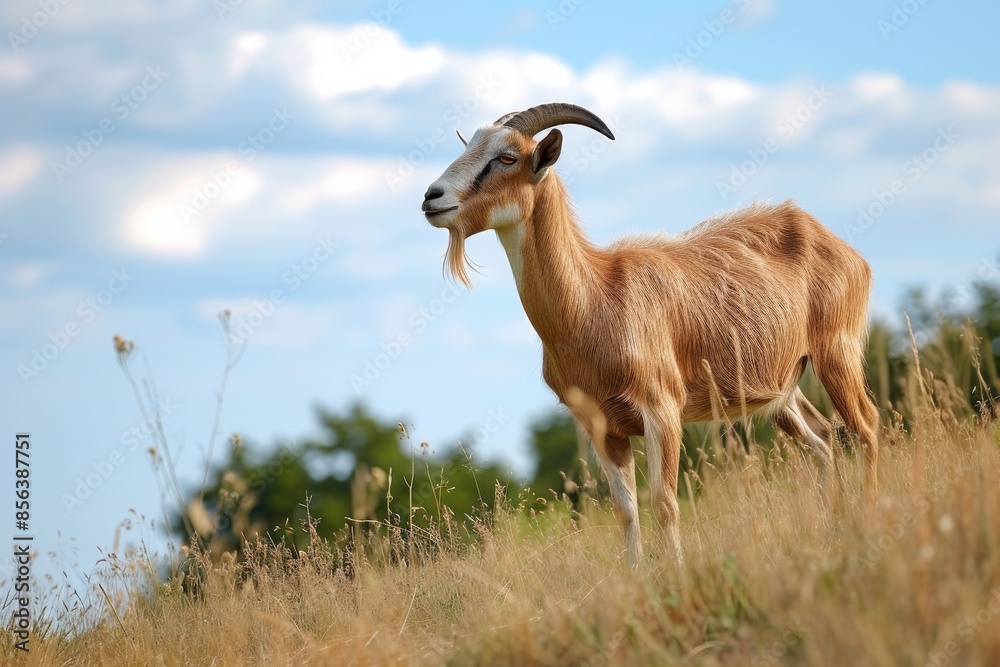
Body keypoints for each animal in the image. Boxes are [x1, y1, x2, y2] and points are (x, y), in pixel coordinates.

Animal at [422, 103, 879, 566]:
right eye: (470, 145)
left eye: (507, 157)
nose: (432, 197)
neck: (594, 300)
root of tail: (836, 244)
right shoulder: (603, 428)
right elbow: (626, 511)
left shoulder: (661, 410)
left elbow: (664, 502)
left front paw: (677, 572)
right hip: (782, 390)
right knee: (823, 438)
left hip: (835, 353)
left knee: (866, 427)